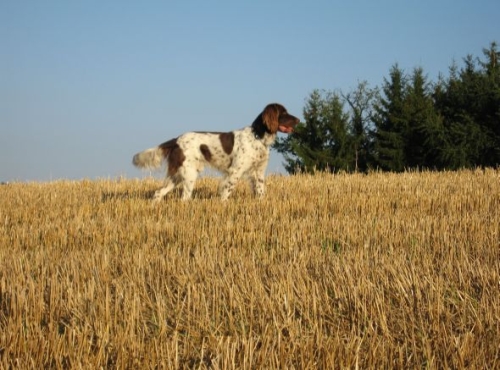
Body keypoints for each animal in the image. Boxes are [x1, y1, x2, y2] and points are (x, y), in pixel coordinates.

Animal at [131, 102, 298, 201]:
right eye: (283, 113)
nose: (298, 120)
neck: (257, 136)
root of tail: (176, 140)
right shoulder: (235, 171)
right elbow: (226, 192)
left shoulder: (258, 172)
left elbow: (260, 192)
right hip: (189, 174)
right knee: (184, 198)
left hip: (177, 175)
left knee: (158, 193)